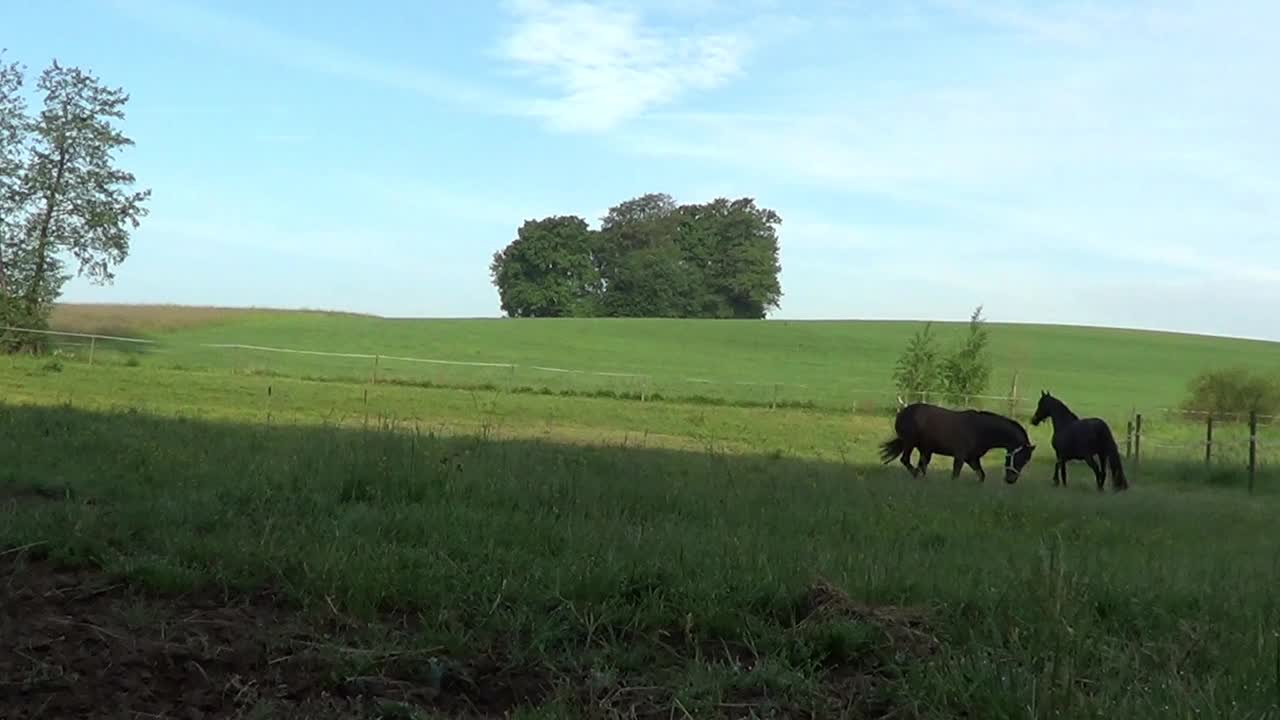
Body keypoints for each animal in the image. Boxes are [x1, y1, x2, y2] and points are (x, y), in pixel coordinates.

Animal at [880, 397, 1039, 481]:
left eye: (1026, 460)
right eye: (1021, 458)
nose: (1011, 480)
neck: (980, 430)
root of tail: (902, 412)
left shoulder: (972, 459)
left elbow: (981, 475)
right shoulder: (960, 457)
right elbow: (955, 476)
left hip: (925, 450)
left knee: (921, 466)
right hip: (910, 443)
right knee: (906, 461)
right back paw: (916, 476)